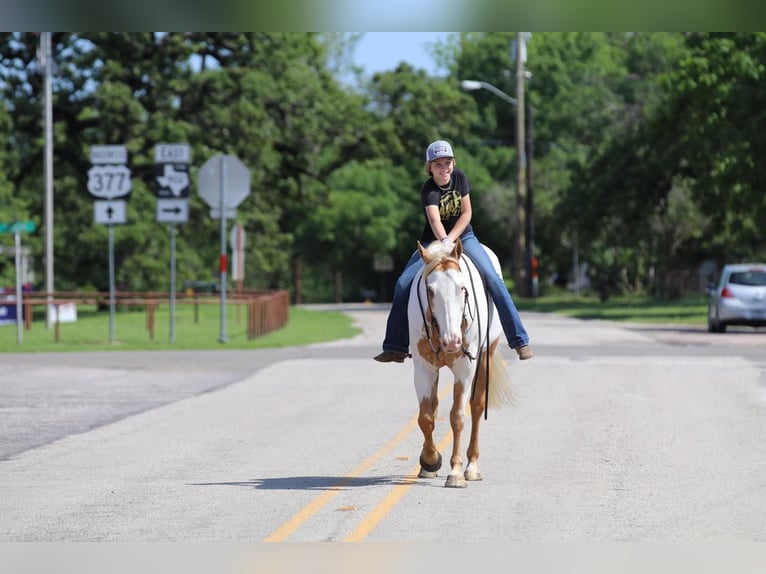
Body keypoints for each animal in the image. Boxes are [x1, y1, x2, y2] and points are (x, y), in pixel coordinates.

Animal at [412, 238, 512, 490]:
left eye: (462, 288)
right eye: (430, 290)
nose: (452, 341)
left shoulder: (465, 369)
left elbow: (457, 417)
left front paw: (455, 472)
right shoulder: (423, 368)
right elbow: (426, 417)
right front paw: (430, 461)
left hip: (486, 355)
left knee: (476, 407)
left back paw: (472, 467)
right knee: (434, 406)